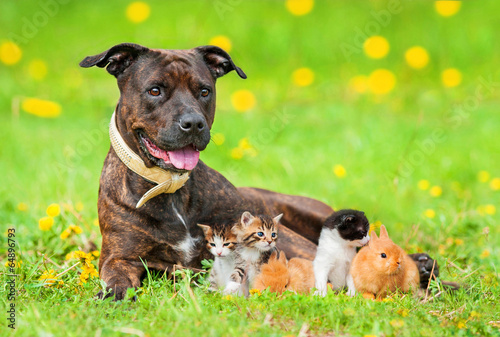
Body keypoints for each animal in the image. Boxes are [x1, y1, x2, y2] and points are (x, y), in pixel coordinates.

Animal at [80, 43, 436, 298]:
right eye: (155, 90)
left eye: (204, 91)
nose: (193, 123)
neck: (171, 190)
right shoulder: (120, 258)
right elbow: (116, 277)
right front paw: (113, 295)